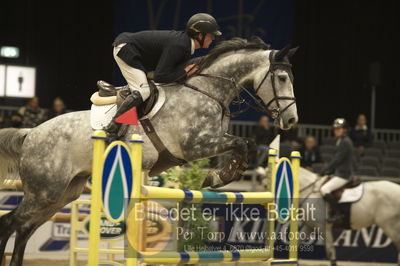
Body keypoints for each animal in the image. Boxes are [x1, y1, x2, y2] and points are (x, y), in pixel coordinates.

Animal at [0, 38, 298, 266]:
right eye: (282, 78)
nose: (292, 120)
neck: (208, 91)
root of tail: (30, 134)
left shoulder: (208, 142)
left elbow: (243, 145)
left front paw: (219, 176)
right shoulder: (196, 144)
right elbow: (242, 143)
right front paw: (218, 177)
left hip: (61, 194)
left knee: (23, 228)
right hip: (44, 191)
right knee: (9, 222)